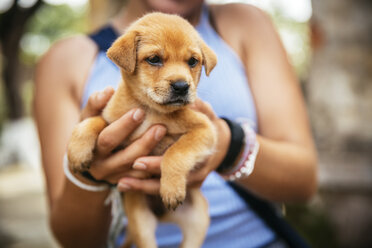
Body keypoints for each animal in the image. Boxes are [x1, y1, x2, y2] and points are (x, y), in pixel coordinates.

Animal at [68, 13, 217, 248]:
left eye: (193, 61)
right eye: (154, 59)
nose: (182, 86)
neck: (150, 110)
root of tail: (163, 216)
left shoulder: (205, 130)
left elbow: (176, 152)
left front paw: (171, 188)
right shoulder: (112, 119)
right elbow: (92, 122)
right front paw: (77, 152)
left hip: (197, 221)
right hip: (142, 223)